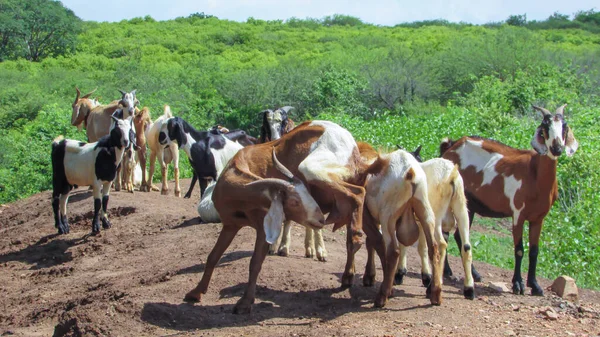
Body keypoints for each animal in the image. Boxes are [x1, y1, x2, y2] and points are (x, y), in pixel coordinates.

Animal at [185, 120, 376, 312]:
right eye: (294, 202)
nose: (321, 219)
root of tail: (353, 146)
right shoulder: (230, 225)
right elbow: (213, 256)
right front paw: (195, 292)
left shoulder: (262, 229)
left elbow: (255, 263)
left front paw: (245, 302)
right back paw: (349, 275)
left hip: (313, 169)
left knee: (358, 193)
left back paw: (356, 240)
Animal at [440, 104, 576, 294]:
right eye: (545, 127)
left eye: (564, 126)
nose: (557, 148)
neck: (535, 174)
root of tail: (450, 146)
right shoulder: (518, 214)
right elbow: (519, 249)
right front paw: (518, 284)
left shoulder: (538, 218)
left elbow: (534, 251)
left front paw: (535, 285)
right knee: (445, 233)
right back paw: (447, 271)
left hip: (469, 205)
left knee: (459, 236)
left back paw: (474, 274)